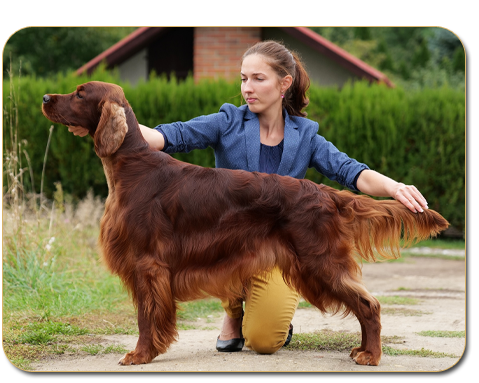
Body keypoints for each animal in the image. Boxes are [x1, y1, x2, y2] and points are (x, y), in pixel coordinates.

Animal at [42, 82, 450, 366]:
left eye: (80, 93)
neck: (132, 167)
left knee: (369, 304)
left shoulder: (147, 265)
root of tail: (324, 193)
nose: (45, 97)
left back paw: (371, 355)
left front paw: (140, 355)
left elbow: (146, 318)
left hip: (319, 263)